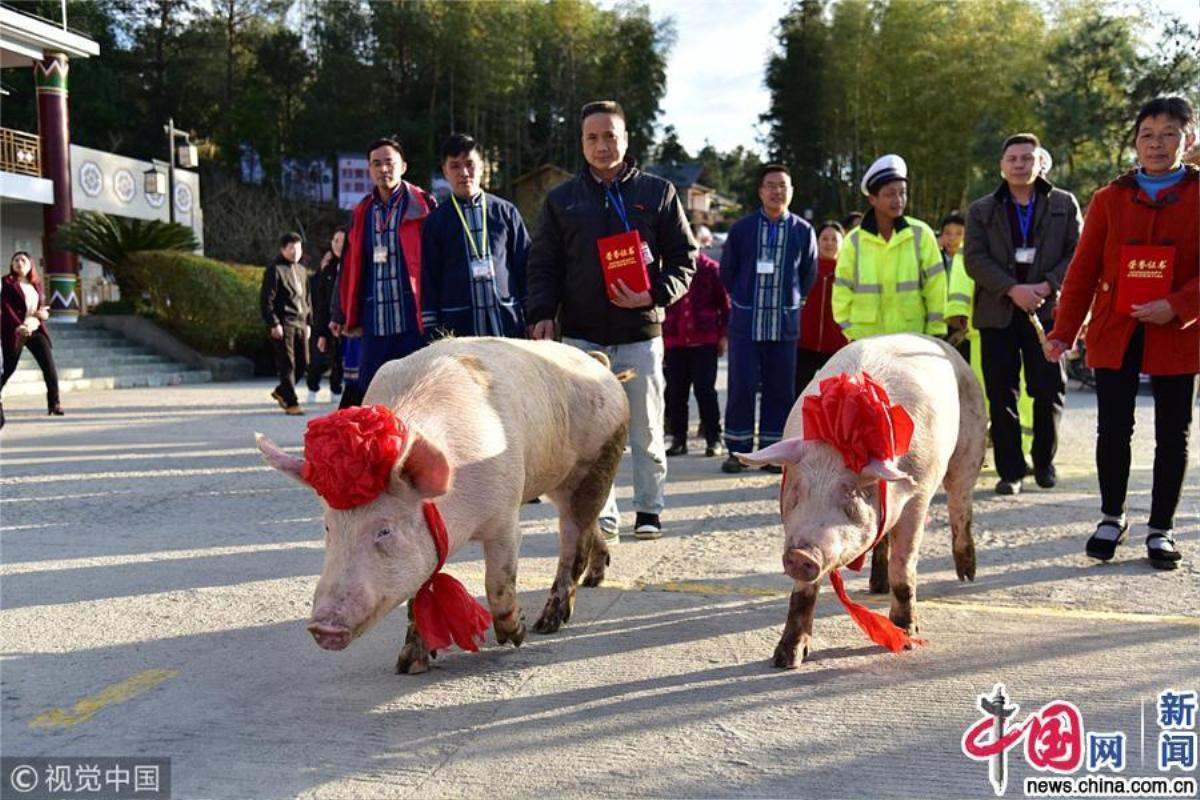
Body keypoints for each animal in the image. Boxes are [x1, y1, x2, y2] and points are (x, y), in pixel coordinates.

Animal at [253, 338, 628, 676]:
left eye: (385, 530)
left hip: (599, 459)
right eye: (328, 526)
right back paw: (595, 577)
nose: (323, 627)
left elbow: (497, 581)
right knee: (585, 528)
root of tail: (600, 365)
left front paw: (515, 636)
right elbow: (418, 596)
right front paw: (408, 666)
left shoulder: (505, 515)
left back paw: (547, 624)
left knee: (574, 540)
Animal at [739, 333, 984, 671]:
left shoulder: (917, 496)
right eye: (797, 491)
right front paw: (785, 660)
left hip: (971, 444)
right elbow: (803, 593)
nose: (801, 554)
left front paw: (907, 637)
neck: (841, 434)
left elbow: (904, 568)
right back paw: (876, 587)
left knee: (960, 505)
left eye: (850, 493)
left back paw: (966, 574)